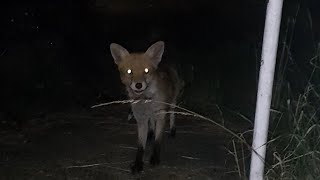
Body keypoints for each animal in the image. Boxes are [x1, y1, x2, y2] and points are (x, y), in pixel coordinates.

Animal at [110, 41, 181, 174]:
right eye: (129, 72)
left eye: (146, 71)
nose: (138, 85)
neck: (146, 100)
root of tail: (165, 65)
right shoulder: (141, 120)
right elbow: (140, 146)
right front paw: (138, 164)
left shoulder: (160, 115)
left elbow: (157, 141)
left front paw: (155, 158)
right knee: (151, 122)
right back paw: (151, 133)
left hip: (172, 102)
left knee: (172, 114)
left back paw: (172, 130)